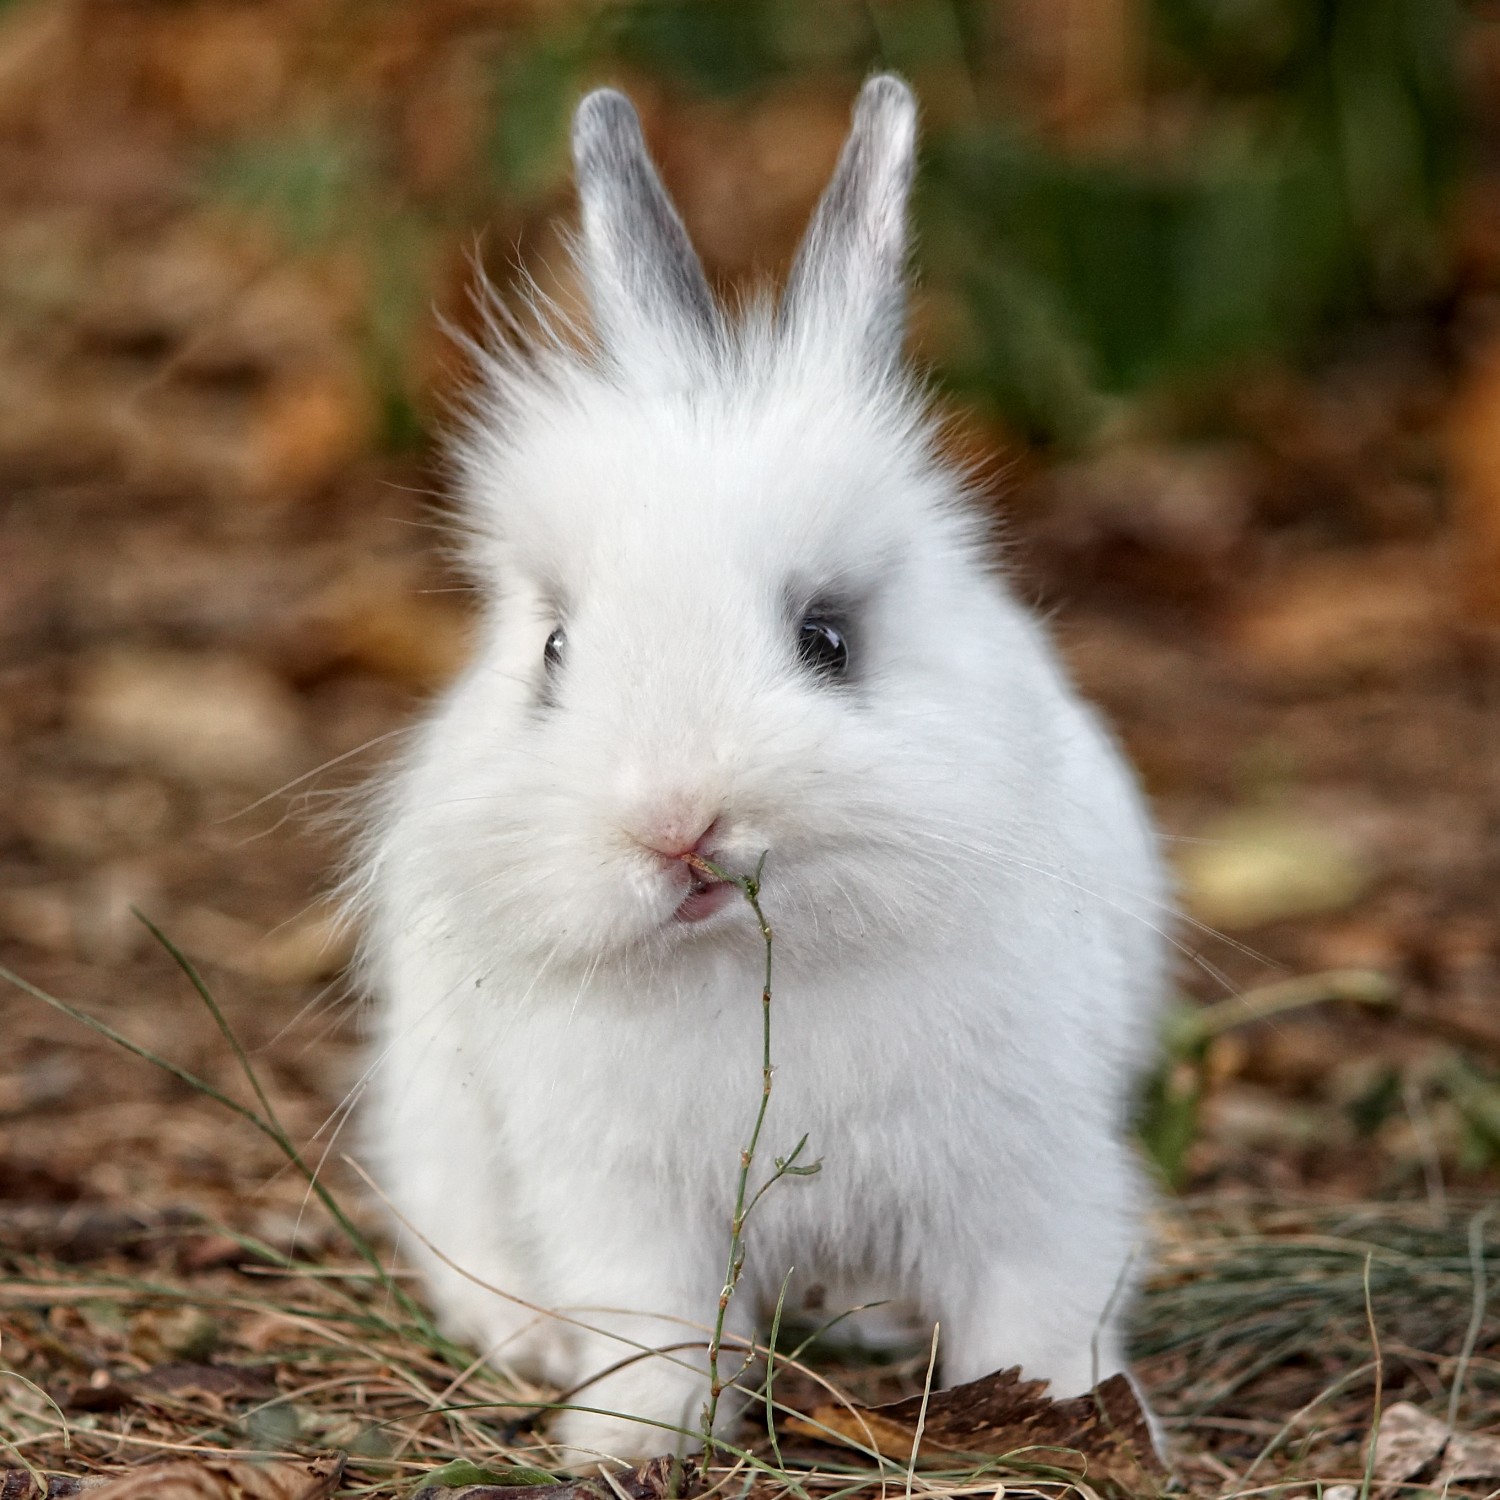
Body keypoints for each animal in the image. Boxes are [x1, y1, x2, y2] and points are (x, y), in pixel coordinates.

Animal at [354, 76, 1170, 1470]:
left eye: (827, 640)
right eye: (554, 652)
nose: (676, 823)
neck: (748, 967)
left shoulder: (1029, 1176)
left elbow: (1038, 1305)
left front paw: (1062, 1412)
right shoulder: (621, 1202)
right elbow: (655, 1331)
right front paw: (627, 1446)